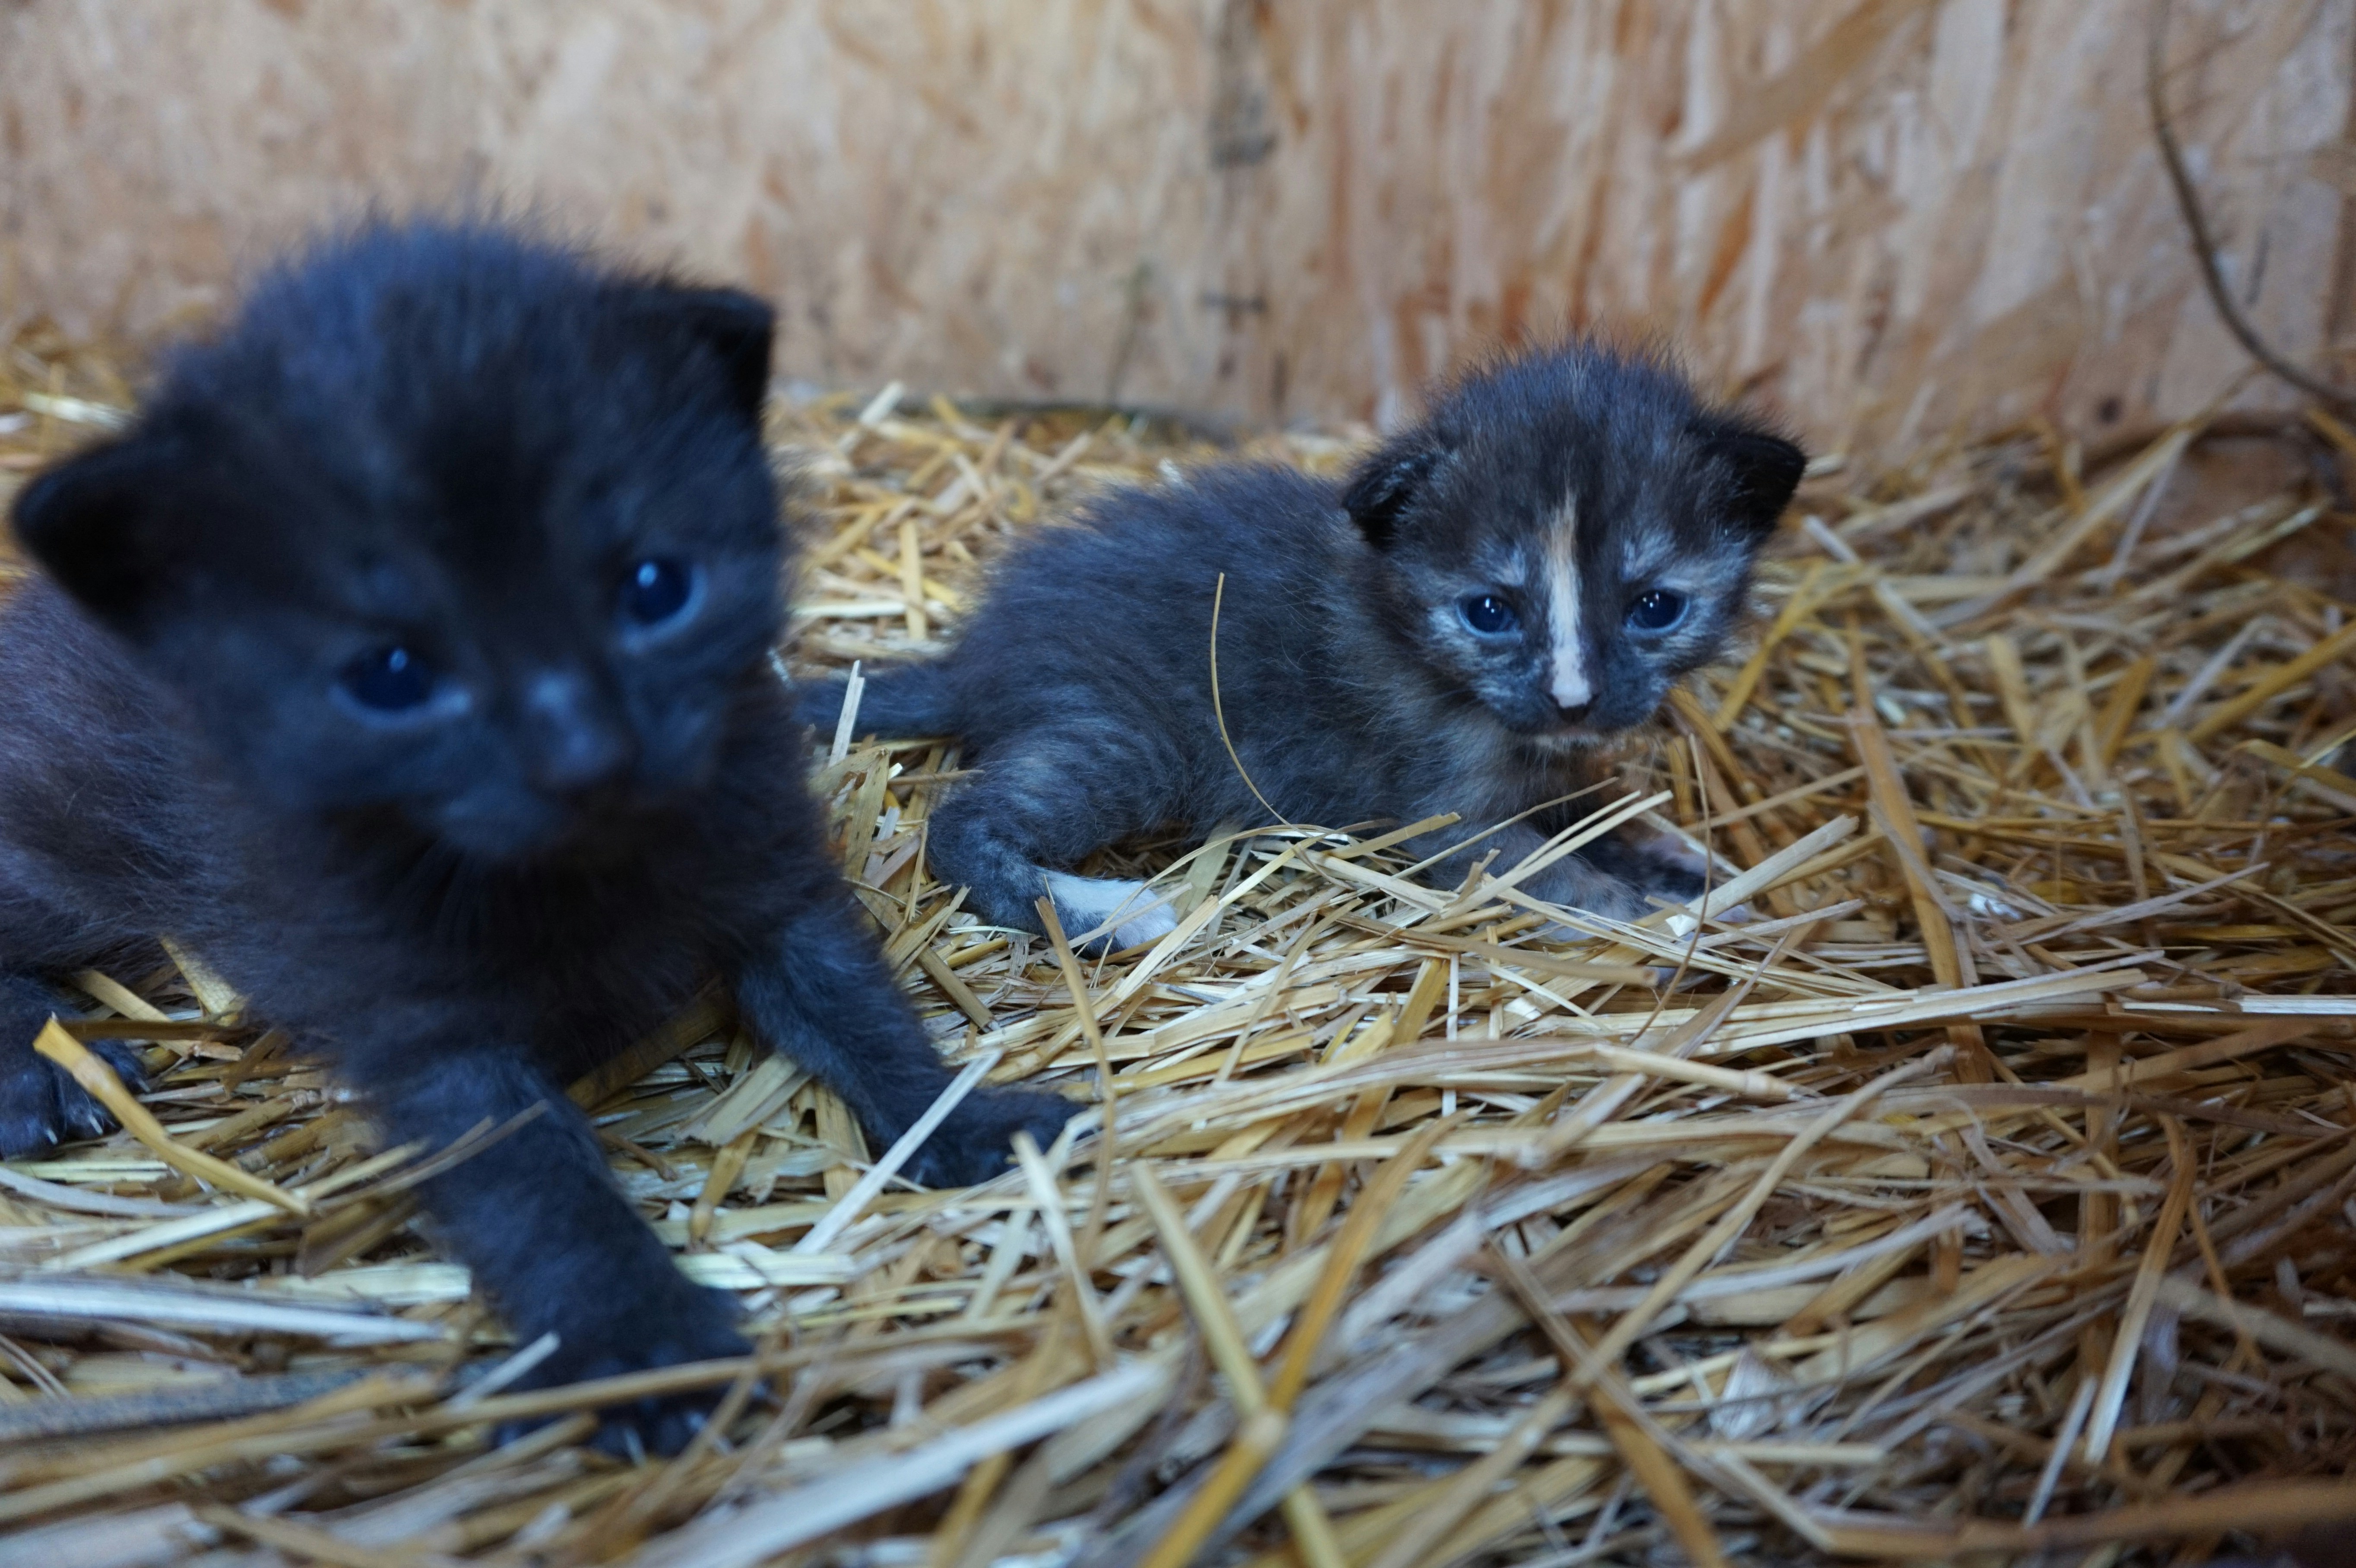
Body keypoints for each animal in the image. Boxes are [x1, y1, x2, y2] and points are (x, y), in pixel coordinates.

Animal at [0, 220, 1073, 1453]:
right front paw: (643, 1336)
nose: (587, 755)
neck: (578, 872)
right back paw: (35, 1065)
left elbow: (863, 1010)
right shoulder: (428, 1026)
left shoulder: (768, 872)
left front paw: (967, 1118)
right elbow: (538, 1185)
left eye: (655, 586)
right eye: (391, 672)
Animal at [796, 343, 1805, 949]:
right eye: (1490, 610)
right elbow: (1543, 871)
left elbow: (1600, 814)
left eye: (1655, 607)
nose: (1574, 700)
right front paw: (1650, 921)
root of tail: (977, 655)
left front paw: (1679, 862)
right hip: (1126, 735)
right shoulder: (1445, 813)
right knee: (962, 825)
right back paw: (1109, 911)